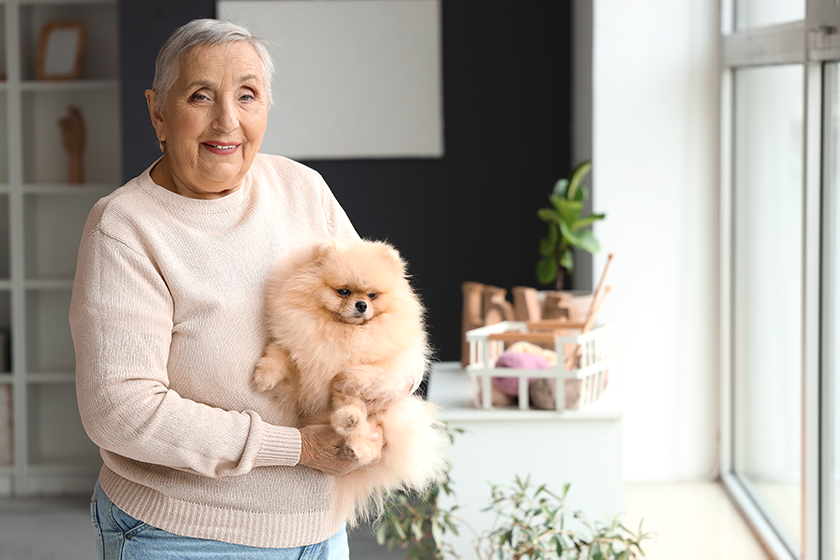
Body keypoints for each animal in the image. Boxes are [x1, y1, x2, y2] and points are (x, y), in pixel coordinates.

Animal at [253, 238, 450, 524]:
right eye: (343, 292)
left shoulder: (380, 369)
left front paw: (347, 384)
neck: (342, 330)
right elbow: (279, 353)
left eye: (372, 295)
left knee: (369, 435)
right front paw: (264, 377)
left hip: (385, 417)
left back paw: (355, 443)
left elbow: (353, 385)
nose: (361, 305)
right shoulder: (297, 345)